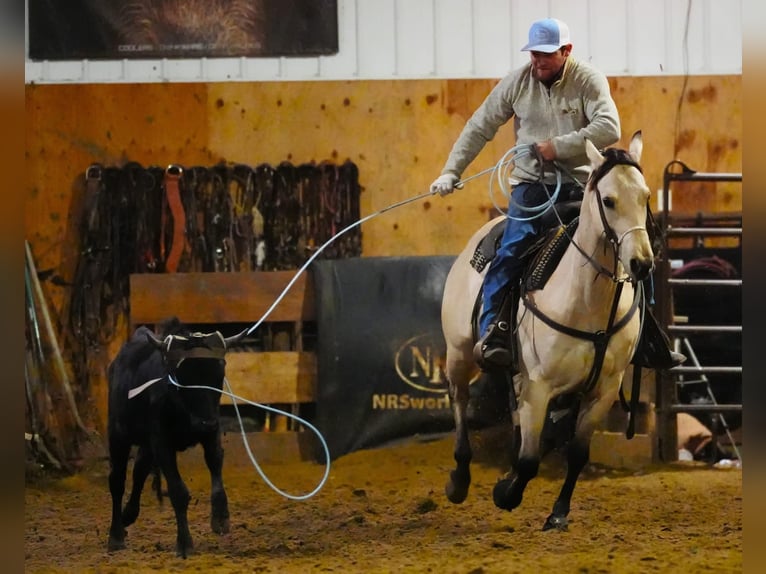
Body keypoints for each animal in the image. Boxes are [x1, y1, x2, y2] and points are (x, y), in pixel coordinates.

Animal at [441, 131, 653, 531]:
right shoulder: (539, 385)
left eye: (646, 196)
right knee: (459, 400)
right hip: (459, 353)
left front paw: (558, 513)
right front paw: (505, 493)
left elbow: (577, 454)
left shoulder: (602, 391)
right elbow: (529, 460)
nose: (641, 264)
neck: (588, 302)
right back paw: (459, 480)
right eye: (608, 200)